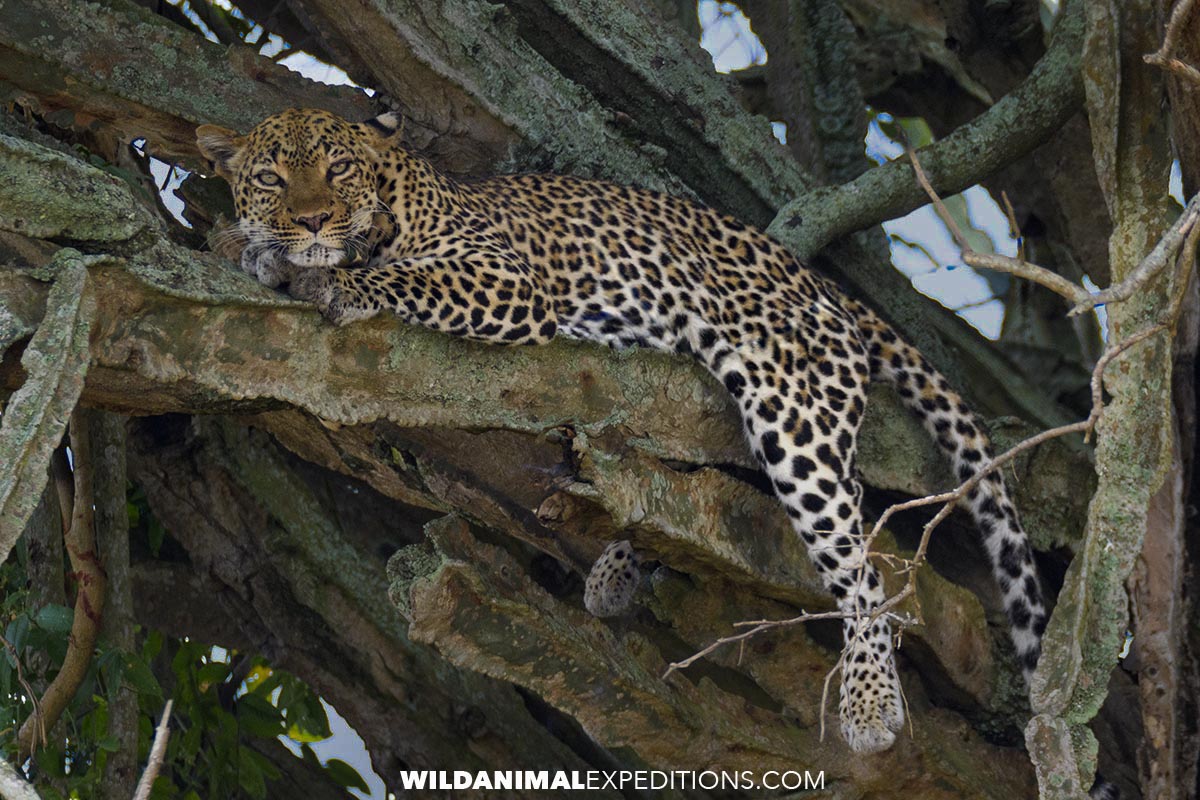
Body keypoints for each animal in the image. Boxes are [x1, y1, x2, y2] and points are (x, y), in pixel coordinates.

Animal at [196, 107, 1049, 755]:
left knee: (864, 568)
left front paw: (321, 275)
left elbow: (399, 277)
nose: (311, 219)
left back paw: (870, 704)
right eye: (272, 178)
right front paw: (250, 245)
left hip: (794, 405)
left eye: (337, 169)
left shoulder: (506, 281)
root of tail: (824, 285)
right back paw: (619, 564)